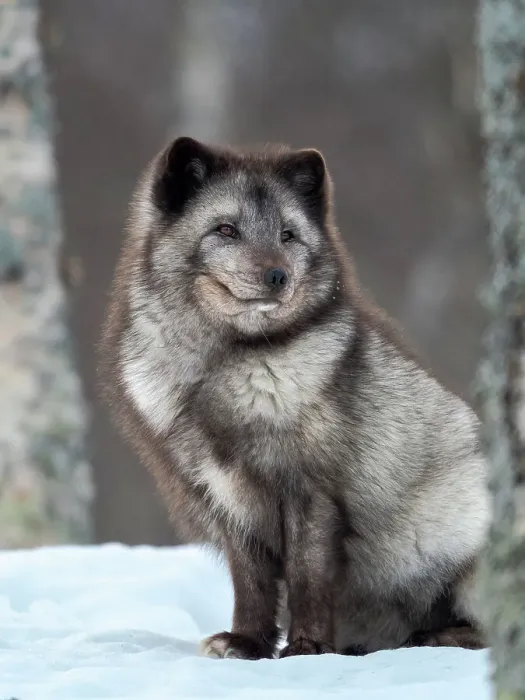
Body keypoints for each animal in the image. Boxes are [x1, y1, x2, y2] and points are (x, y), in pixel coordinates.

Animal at [99, 136, 490, 659]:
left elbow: (307, 575)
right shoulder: (225, 495)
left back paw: (439, 636)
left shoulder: (311, 488)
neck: (224, 362)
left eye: (287, 235)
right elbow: (250, 581)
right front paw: (246, 642)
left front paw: (306, 647)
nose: (277, 276)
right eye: (226, 229)